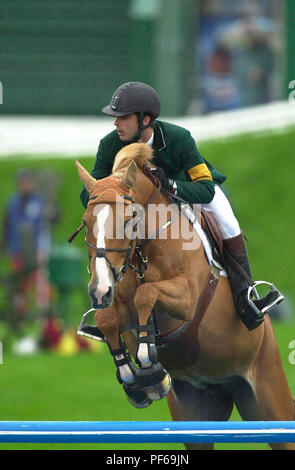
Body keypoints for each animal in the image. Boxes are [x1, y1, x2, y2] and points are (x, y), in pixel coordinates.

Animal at [74, 142, 294, 448]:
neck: (146, 249)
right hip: (194, 416)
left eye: (130, 220)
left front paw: (148, 364)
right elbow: (109, 319)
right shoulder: (122, 308)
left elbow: (146, 293)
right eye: (86, 221)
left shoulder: (187, 299)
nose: (100, 291)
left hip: (270, 404)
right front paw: (135, 379)